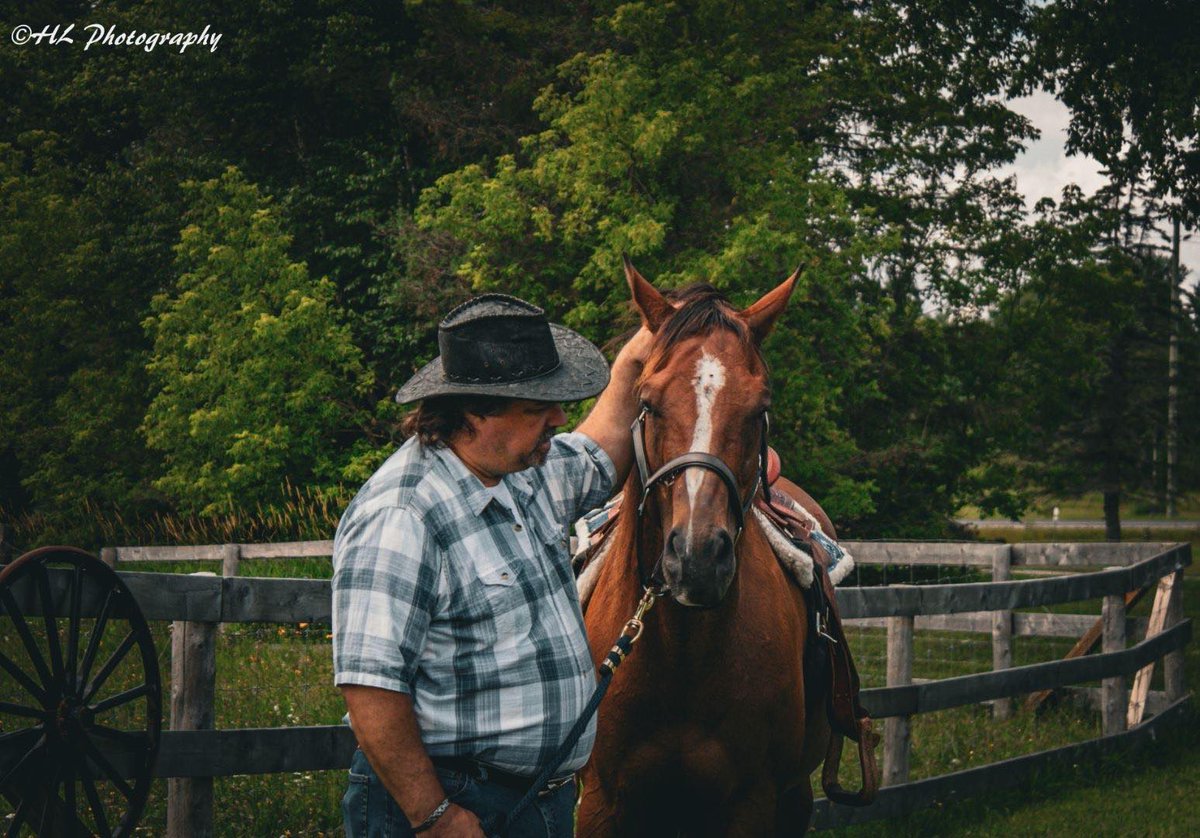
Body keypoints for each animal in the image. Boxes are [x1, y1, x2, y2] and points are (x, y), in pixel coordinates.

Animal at [576, 261, 835, 837]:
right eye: (647, 402)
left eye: (761, 408)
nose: (696, 559)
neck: (683, 655)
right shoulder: (601, 802)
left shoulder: (752, 802)